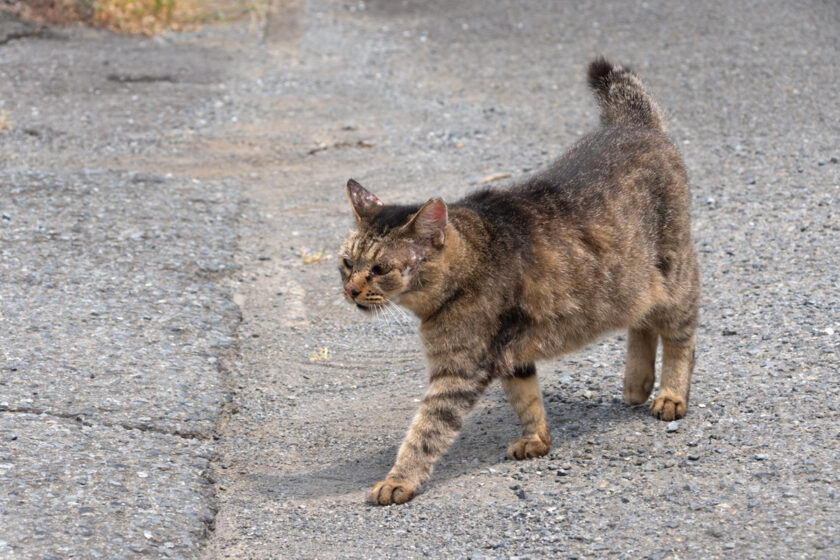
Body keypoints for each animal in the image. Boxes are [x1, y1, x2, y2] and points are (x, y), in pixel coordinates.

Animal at [338, 59, 700, 506]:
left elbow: (425, 431)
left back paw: (670, 394)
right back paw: (637, 382)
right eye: (347, 263)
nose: (350, 289)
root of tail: (634, 125)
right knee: (642, 320)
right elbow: (526, 399)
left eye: (381, 268)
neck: (474, 259)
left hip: (675, 276)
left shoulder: (459, 371)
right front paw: (537, 439)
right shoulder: (511, 353)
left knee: (682, 337)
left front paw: (398, 479)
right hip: (630, 285)